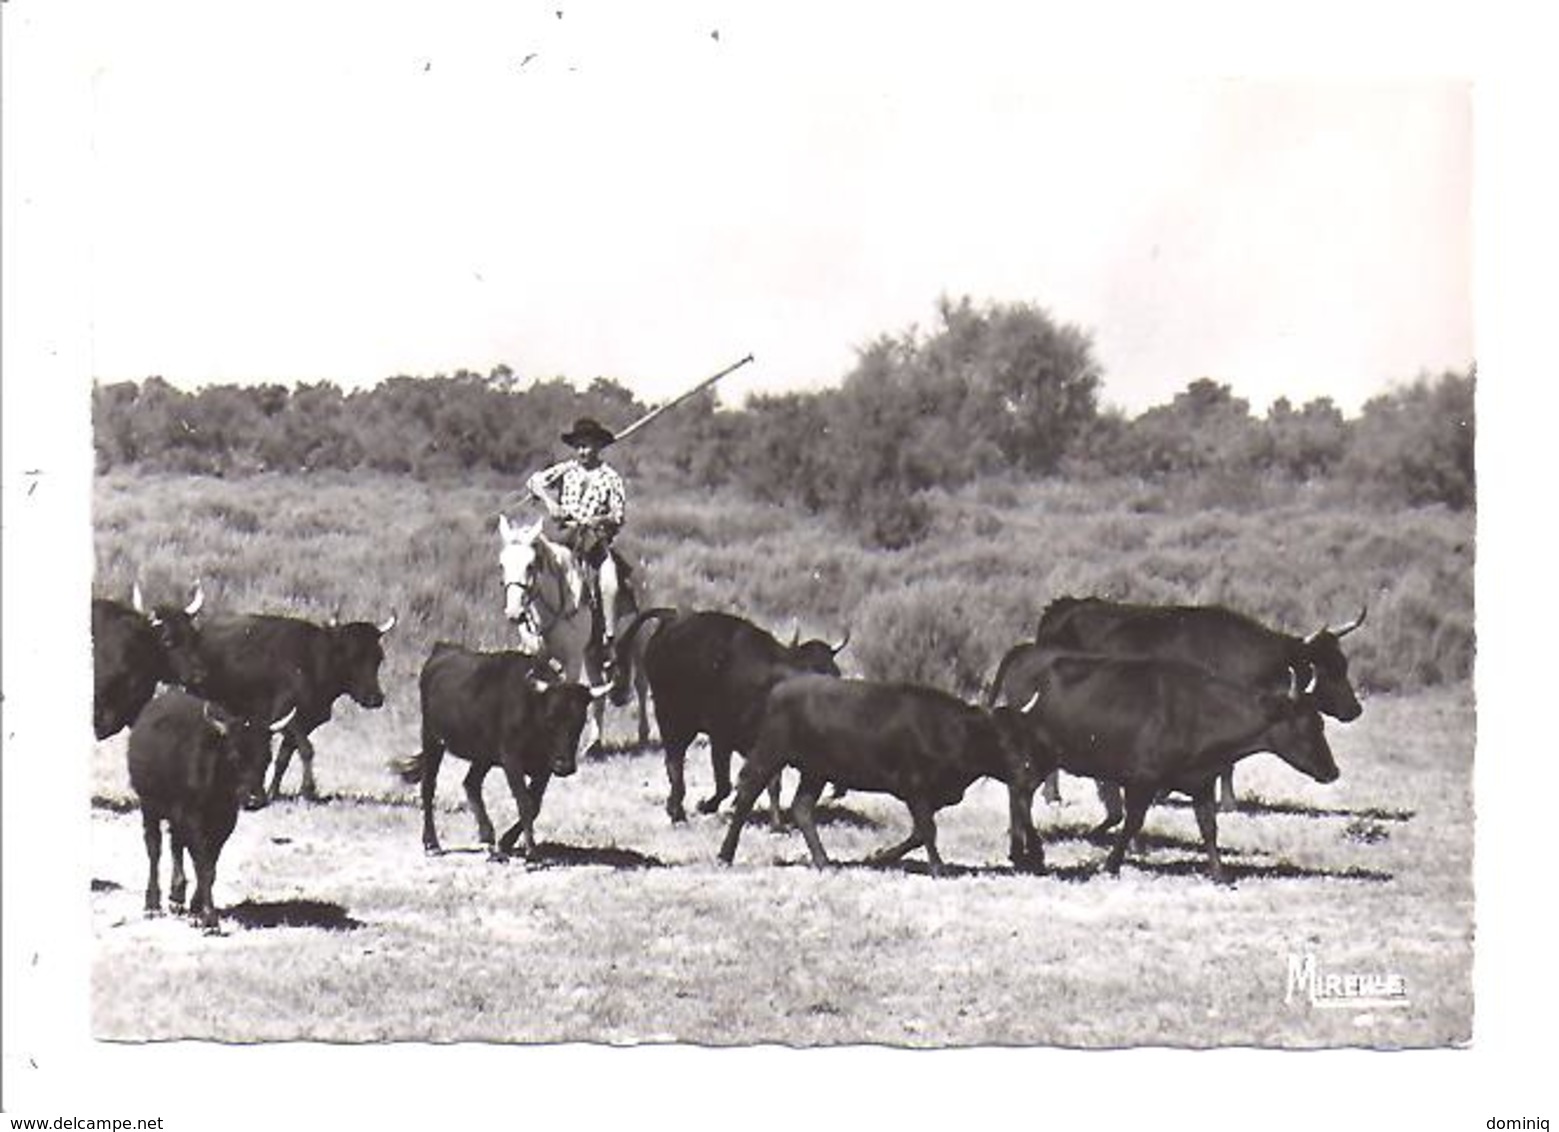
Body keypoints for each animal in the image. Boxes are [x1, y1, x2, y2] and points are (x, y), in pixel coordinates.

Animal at [611, 611, 854, 823]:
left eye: (836, 672)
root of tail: (672, 620)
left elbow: (771, 784)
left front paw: (776, 824)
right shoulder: (721, 739)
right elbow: (725, 784)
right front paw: (706, 805)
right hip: (672, 716)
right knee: (674, 761)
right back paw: (677, 811)